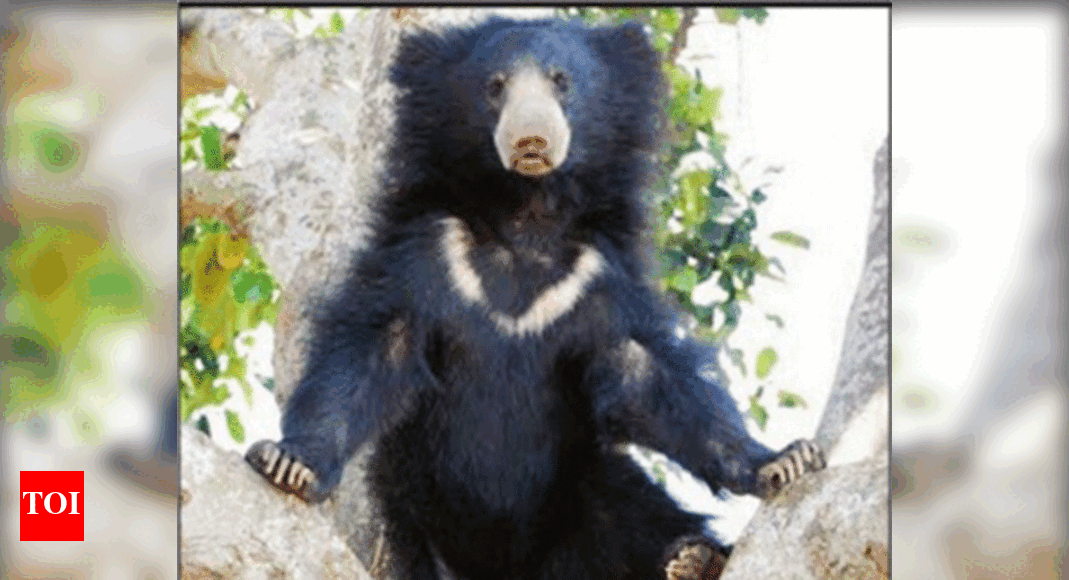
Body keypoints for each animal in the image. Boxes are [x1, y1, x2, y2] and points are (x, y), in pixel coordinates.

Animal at [245, 16, 826, 580]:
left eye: (561, 81)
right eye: (495, 86)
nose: (531, 140)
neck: (526, 219)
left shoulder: (597, 278)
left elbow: (651, 375)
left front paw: (781, 461)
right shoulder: (429, 254)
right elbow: (371, 355)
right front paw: (289, 464)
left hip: (586, 496)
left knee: (636, 513)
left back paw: (694, 559)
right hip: (414, 511)